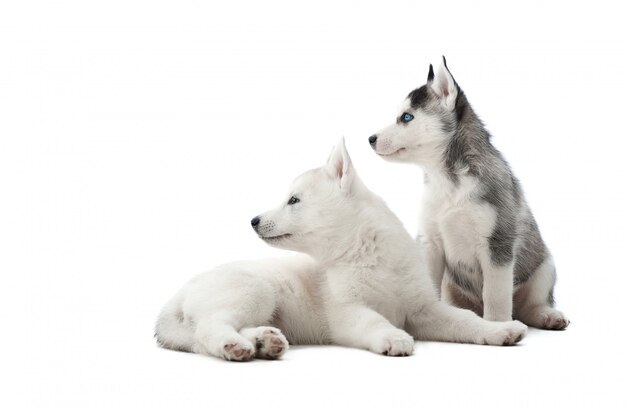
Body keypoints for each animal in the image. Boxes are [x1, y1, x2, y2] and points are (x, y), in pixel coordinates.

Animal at [368, 57, 568, 330]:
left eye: (406, 117)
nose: (370, 139)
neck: (449, 183)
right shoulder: (430, 243)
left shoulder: (497, 243)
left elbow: (496, 296)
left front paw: (497, 326)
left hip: (545, 266)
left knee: (529, 306)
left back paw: (546, 315)